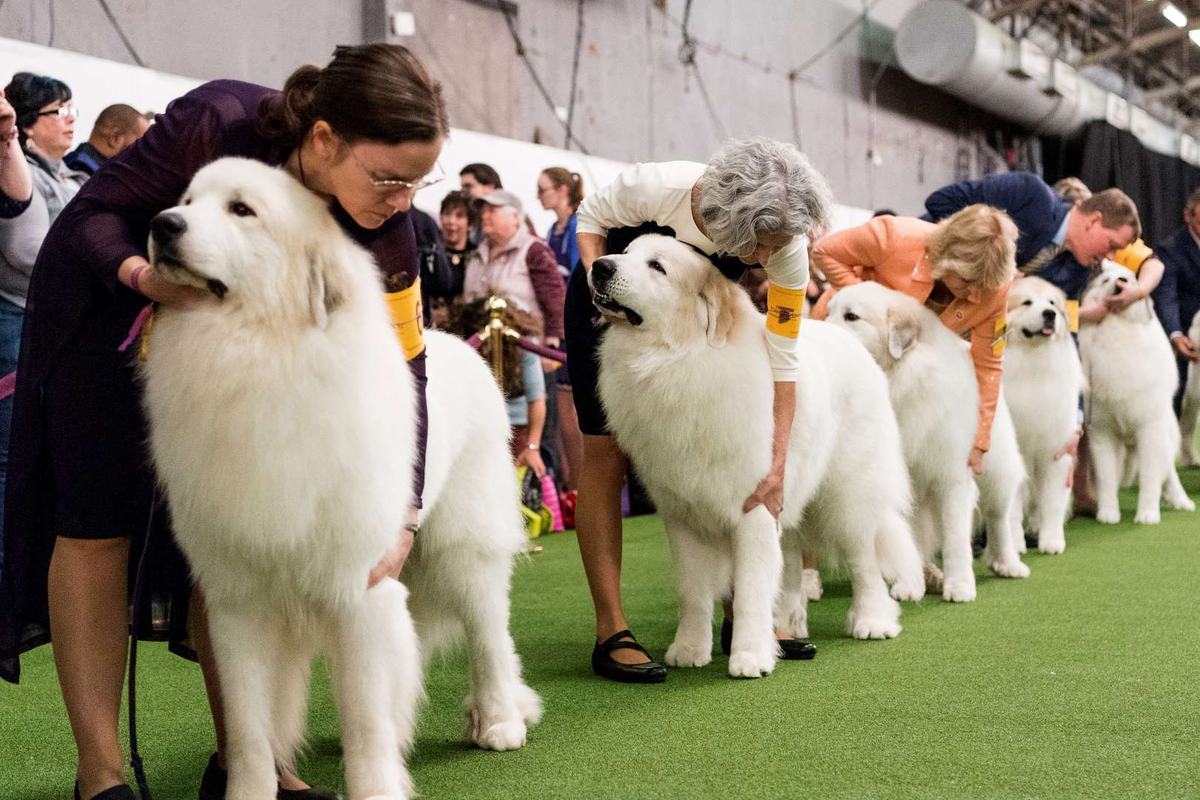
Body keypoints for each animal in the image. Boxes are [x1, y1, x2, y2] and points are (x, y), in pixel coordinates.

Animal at [140, 158, 540, 800]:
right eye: (188, 200)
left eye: (242, 210)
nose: (162, 224)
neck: (253, 357)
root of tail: (464, 341)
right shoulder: (237, 602)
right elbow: (248, 728)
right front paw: (251, 790)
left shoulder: (359, 590)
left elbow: (365, 719)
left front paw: (375, 784)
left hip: (463, 548)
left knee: (489, 637)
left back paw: (499, 720)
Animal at [595, 235, 921, 681]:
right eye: (625, 252)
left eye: (657, 267)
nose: (599, 266)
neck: (681, 361)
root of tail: (849, 342)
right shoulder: (683, 517)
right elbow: (693, 591)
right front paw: (689, 649)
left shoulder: (754, 507)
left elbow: (750, 590)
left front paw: (749, 656)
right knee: (794, 566)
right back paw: (791, 627)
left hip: (847, 498)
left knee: (864, 563)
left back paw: (871, 621)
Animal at [825, 281, 1032, 599]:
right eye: (829, 312)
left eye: (851, 317)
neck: (898, 377)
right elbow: (911, 539)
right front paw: (911, 584)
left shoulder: (953, 477)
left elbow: (956, 538)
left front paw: (959, 585)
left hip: (995, 468)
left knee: (998, 517)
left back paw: (1007, 563)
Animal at [1003, 278, 1089, 554]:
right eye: (1027, 302)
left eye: (1052, 303)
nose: (1049, 314)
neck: (1034, 362)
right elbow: (1012, 510)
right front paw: (1016, 543)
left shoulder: (1056, 452)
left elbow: (1051, 502)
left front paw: (1051, 541)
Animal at [1080, 266, 1190, 522]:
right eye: (1105, 280)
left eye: (1128, 279)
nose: (1120, 281)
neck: (1115, 326)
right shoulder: (1101, 432)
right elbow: (1107, 478)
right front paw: (1108, 514)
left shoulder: (1148, 429)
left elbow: (1150, 477)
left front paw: (1148, 515)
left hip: (1163, 434)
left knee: (1168, 472)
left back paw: (1182, 502)